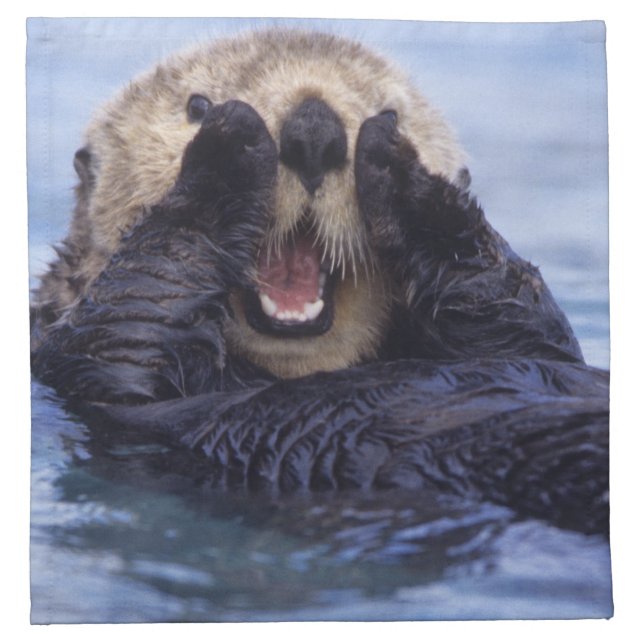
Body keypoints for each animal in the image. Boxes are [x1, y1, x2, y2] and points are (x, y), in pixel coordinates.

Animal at [31, 30, 608, 534]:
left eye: (391, 110)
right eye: (195, 104)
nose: (313, 130)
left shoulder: (530, 338)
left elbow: (520, 311)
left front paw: (402, 170)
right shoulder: (100, 372)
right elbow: (136, 310)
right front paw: (229, 144)